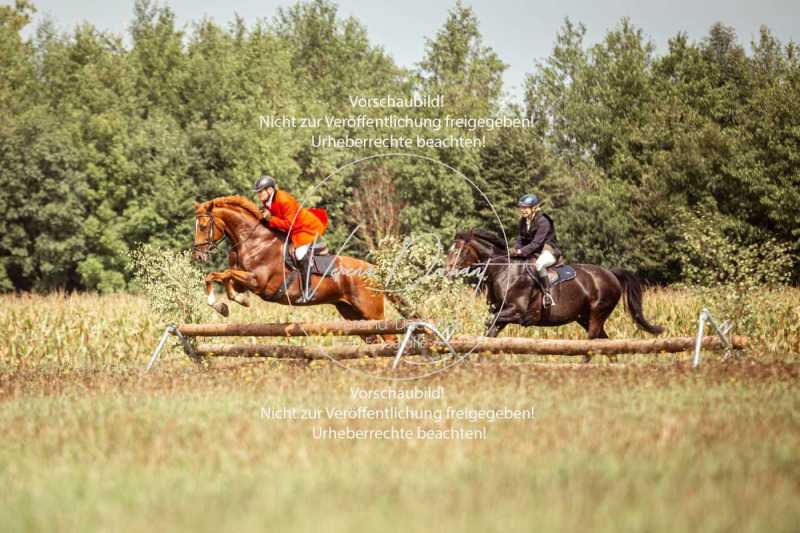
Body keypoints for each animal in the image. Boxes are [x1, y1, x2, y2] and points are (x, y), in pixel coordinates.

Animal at [191, 196, 384, 324]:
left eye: (203, 226)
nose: (198, 255)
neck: (253, 241)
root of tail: (374, 270)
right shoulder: (242, 281)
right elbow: (218, 277)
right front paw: (224, 305)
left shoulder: (258, 282)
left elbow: (226, 273)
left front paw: (229, 302)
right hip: (350, 312)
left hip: (371, 313)